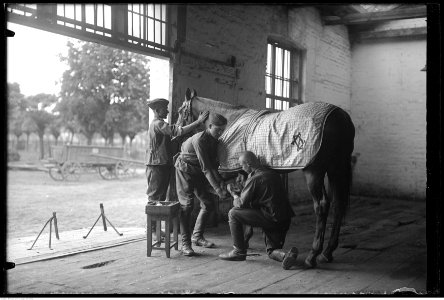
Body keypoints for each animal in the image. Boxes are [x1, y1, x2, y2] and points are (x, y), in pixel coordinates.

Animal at [175, 87, 356, 268]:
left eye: (180, 111)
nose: (177, 132)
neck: (233, 121)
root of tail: (340, 116)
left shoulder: (243, 173)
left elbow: (243, 200)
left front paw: (245, 240)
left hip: (314, 172)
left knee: (322, 206)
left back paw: (313, 255)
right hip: (336, 170)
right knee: (338, 204)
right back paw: (326, 253)